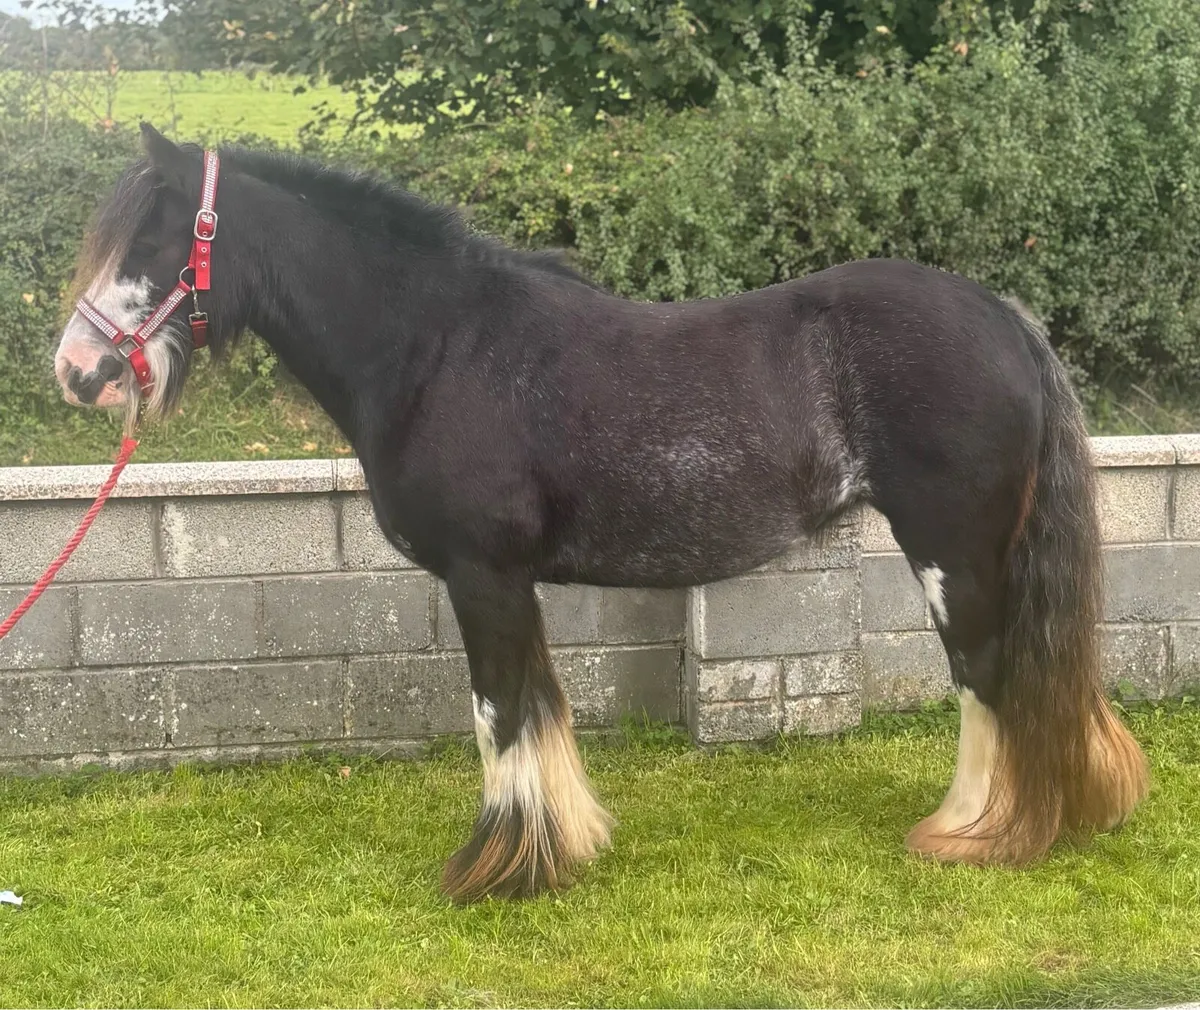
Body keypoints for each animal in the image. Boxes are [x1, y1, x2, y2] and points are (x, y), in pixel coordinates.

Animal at [51, 124, 1149, 903]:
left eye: (151, 240)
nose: (76, 371)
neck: (439, 347)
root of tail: (1002, 315)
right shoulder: (508, 582)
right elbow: (534, 706)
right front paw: (557, 847)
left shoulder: (483, 576)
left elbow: (499, 712)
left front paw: (500, 868)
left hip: (952, 549)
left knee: (990, 674)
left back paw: (981, 832)